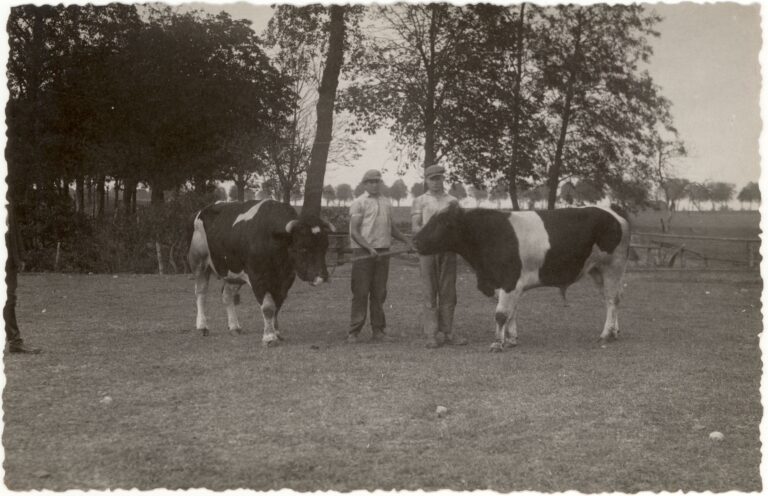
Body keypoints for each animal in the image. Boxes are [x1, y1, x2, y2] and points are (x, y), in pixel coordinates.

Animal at [188, 198, 334, 344]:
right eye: (302, 248)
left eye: (326, 246)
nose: (323, 276)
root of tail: (204, 209)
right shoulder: (257, 277)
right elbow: (268, 307)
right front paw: (269, 337)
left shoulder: (286, 279)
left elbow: (277, 305)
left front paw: (276, 332)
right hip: (199, 263)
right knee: (201, 293)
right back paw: (202, 326)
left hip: (233, 272)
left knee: (227, 295)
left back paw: (234, 326)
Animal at [414, 203, 632, 350]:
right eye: (430, 219)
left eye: (443, 223)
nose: (415, 241)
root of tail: (613, 211)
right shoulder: (505, 284)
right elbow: (511, 312)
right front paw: (511, 340)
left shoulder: (510, 280)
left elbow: (501, 314)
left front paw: (498, 343)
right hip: (597, 270)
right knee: (611, 299)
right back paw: (614, 332)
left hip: (613, 266)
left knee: (612, 300)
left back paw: (605, 334)